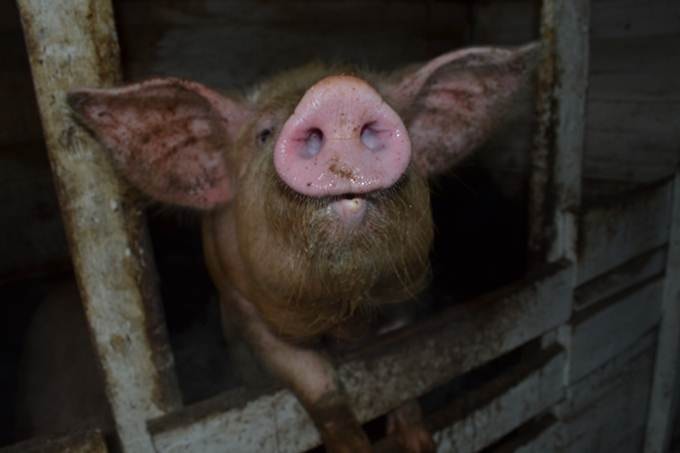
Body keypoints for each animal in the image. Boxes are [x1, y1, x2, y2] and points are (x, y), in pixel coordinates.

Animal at [67, 43, 538, 452]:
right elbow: (317, 383)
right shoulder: (245, 309)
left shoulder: (402, 301)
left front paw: (421, 444)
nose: (340, 92)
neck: (342, 315)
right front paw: (355, 448)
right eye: (263, 134)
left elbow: (402, 371)